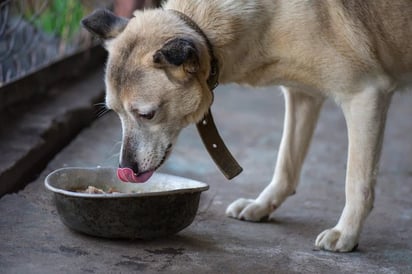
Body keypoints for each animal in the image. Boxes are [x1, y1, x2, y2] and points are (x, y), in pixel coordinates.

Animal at [81, 0, 412, 253]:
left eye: (146, 114)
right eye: (115, 112)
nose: (126, 169)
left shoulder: (365, 96)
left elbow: (357, 182)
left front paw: (346, 233)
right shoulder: (302, 96)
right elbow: (286, 163)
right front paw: (263, 205)